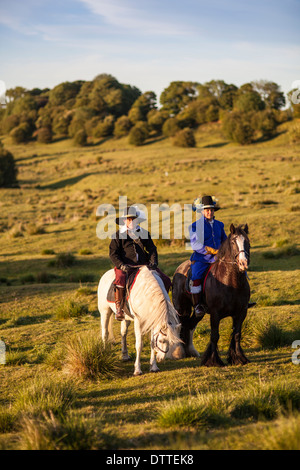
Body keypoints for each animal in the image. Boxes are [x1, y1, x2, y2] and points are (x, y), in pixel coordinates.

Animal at [171, 224, 251, 368]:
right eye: (233, 242)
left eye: (247, 242)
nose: (243, 263)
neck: (231, 281)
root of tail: (179, 269)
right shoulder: (215, 313)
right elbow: (215, 335)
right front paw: (213, 360)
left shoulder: (241, 312)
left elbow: (237, 335)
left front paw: (239, 358)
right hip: (181, 309)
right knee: (180, 325)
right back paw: (179, 351)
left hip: (199, 313)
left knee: (189, 325)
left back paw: (189, 351)